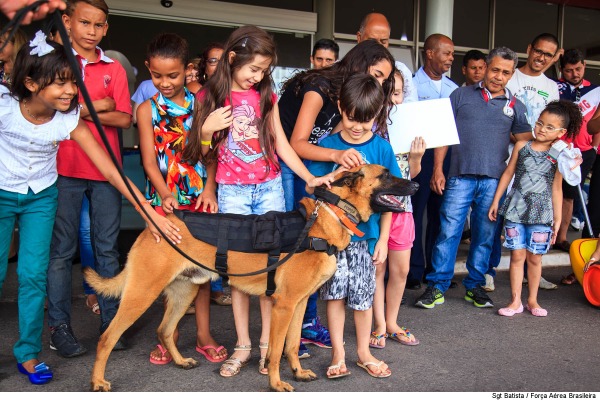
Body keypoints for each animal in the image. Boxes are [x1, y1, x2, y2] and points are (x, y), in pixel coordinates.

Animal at [83, 164, 418, 392]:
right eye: (386, 175)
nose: (415, 183)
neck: (327, 218)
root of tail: (155, 222)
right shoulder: (284, 306)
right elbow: (276, 349)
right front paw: (276, 383)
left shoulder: (298, 304)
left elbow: (292, 345)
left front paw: (297, 372)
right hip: (142, 293)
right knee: (107, 338)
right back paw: (98, 381)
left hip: (184, 292)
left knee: (164, 330)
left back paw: (180, 361)